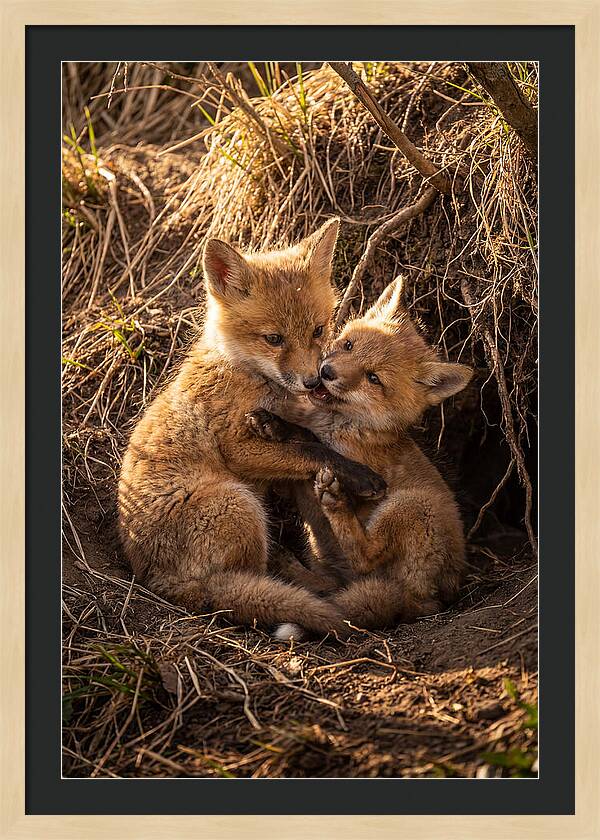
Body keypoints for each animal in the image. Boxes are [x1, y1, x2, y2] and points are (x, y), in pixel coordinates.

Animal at [117, 218, 387, 638]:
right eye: (273, 339)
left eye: (317, 330)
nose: (313, 381)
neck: (243, 372)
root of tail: (158, 582)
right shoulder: (237, 447)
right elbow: (312, 450)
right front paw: (360, 475)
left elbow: (304, 438)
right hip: (239, 504)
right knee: (252, 581)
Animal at [246, 275, 473, 640]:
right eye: (349, 345)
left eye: (373, 378)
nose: (326, 372)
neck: (338, 423)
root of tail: (432, 600)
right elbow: (301, 435)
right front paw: (273, 423)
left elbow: (313, 443)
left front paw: (284, 430)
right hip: (327, 555)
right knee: (333, 584)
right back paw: (291, 567)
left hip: (411, 506)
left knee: (366, 555)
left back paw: (335, 504)